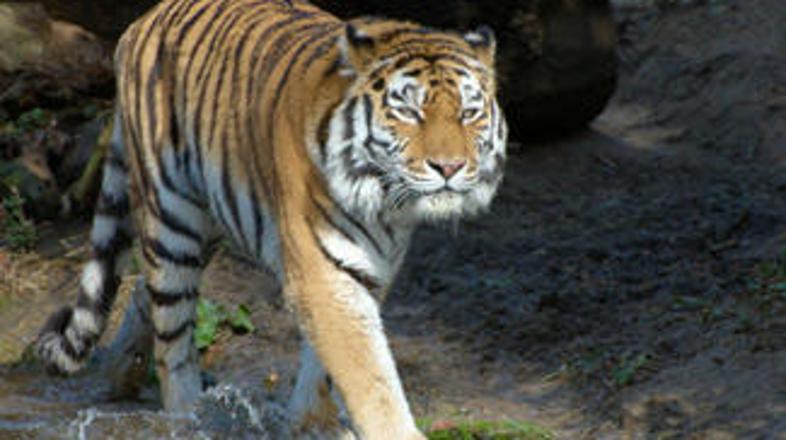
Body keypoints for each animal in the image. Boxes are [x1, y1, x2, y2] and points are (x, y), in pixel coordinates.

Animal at [34, 0, 507, 438]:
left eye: (469, 113)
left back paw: (121, 372)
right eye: (409, 112)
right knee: (172, 343)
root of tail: (145, 18)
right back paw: (185, 416)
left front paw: (309, 423)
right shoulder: (322, 273)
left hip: (207, 222)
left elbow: (327, 366)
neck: (386, 202)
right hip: (172, 217)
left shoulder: (368, 270)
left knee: (141, 291)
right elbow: (368, 375)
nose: (449, 167)